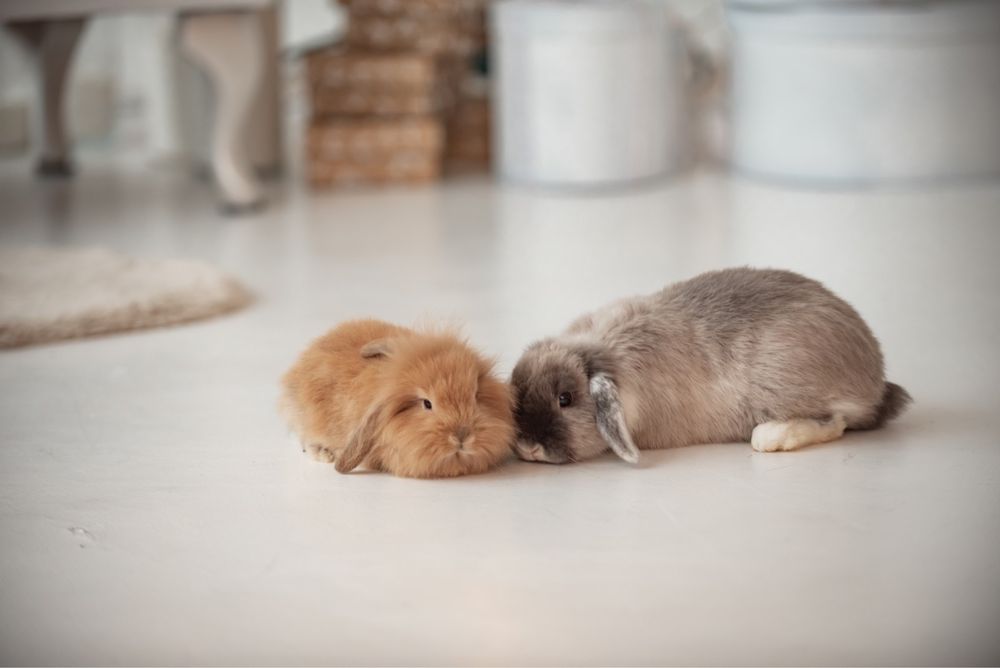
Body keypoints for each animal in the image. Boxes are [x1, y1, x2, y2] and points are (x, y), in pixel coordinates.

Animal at [510, 268, 912, 465]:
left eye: (565, 398)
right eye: (517, 392)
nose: (528, 447)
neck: (606, 352)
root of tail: (874, 379)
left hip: (786, 391)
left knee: (836, 422)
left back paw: (769, 437)